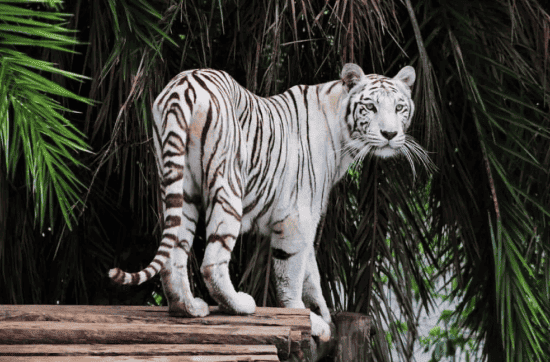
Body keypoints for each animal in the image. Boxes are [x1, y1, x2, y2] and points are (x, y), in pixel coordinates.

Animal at [110, 63, 434, 342]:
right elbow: (292, 274)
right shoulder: (298, 217)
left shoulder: (306, 221)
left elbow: (311, 273)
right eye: (371, 107)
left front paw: (324, 316)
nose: (390, 134)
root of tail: (183, 86)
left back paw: (187, 307)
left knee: (173, 253)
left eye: (399, 107)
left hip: (178, 184)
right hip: (228, 186)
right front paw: (307, 320)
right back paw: (238, 305)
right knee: (212, 262)